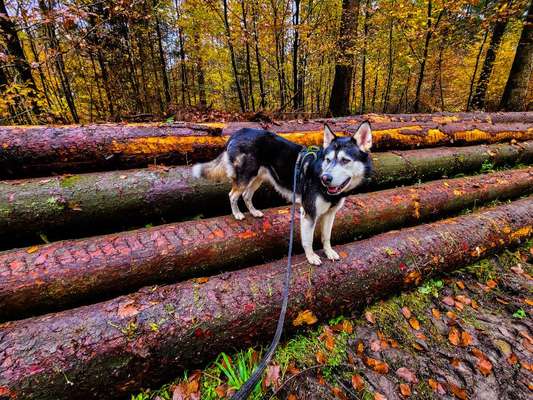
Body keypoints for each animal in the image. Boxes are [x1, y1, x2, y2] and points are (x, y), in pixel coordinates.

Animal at [193, 122, 372, 266]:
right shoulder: (309, 213)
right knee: (233, 195)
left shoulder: (330, 214)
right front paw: (311, 257)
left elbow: (326, 236)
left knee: (246, 195)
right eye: (327, 160)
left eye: (345, 160)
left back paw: (254, 212)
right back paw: (237, 214)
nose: (325, 178)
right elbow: (308, 240)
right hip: (245, 177)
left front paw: (329, 252)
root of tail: (238, 132)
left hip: (258, 178)